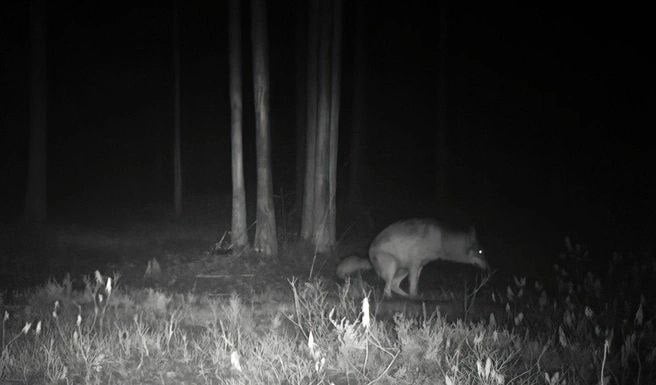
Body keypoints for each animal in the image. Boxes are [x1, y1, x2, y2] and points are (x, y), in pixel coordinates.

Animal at [338, 218, 486, 296]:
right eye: (480, 252)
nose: (489, 269)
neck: (440, 241)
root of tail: (369, 254)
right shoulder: (415, 264)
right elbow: (413, 285)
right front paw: (415, 296)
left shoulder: (419, 266)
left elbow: (415, 284)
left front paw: (415, 297)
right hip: (393, 267)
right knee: (387, 289)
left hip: (403, 269)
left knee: (393, 285)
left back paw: (405, 297)